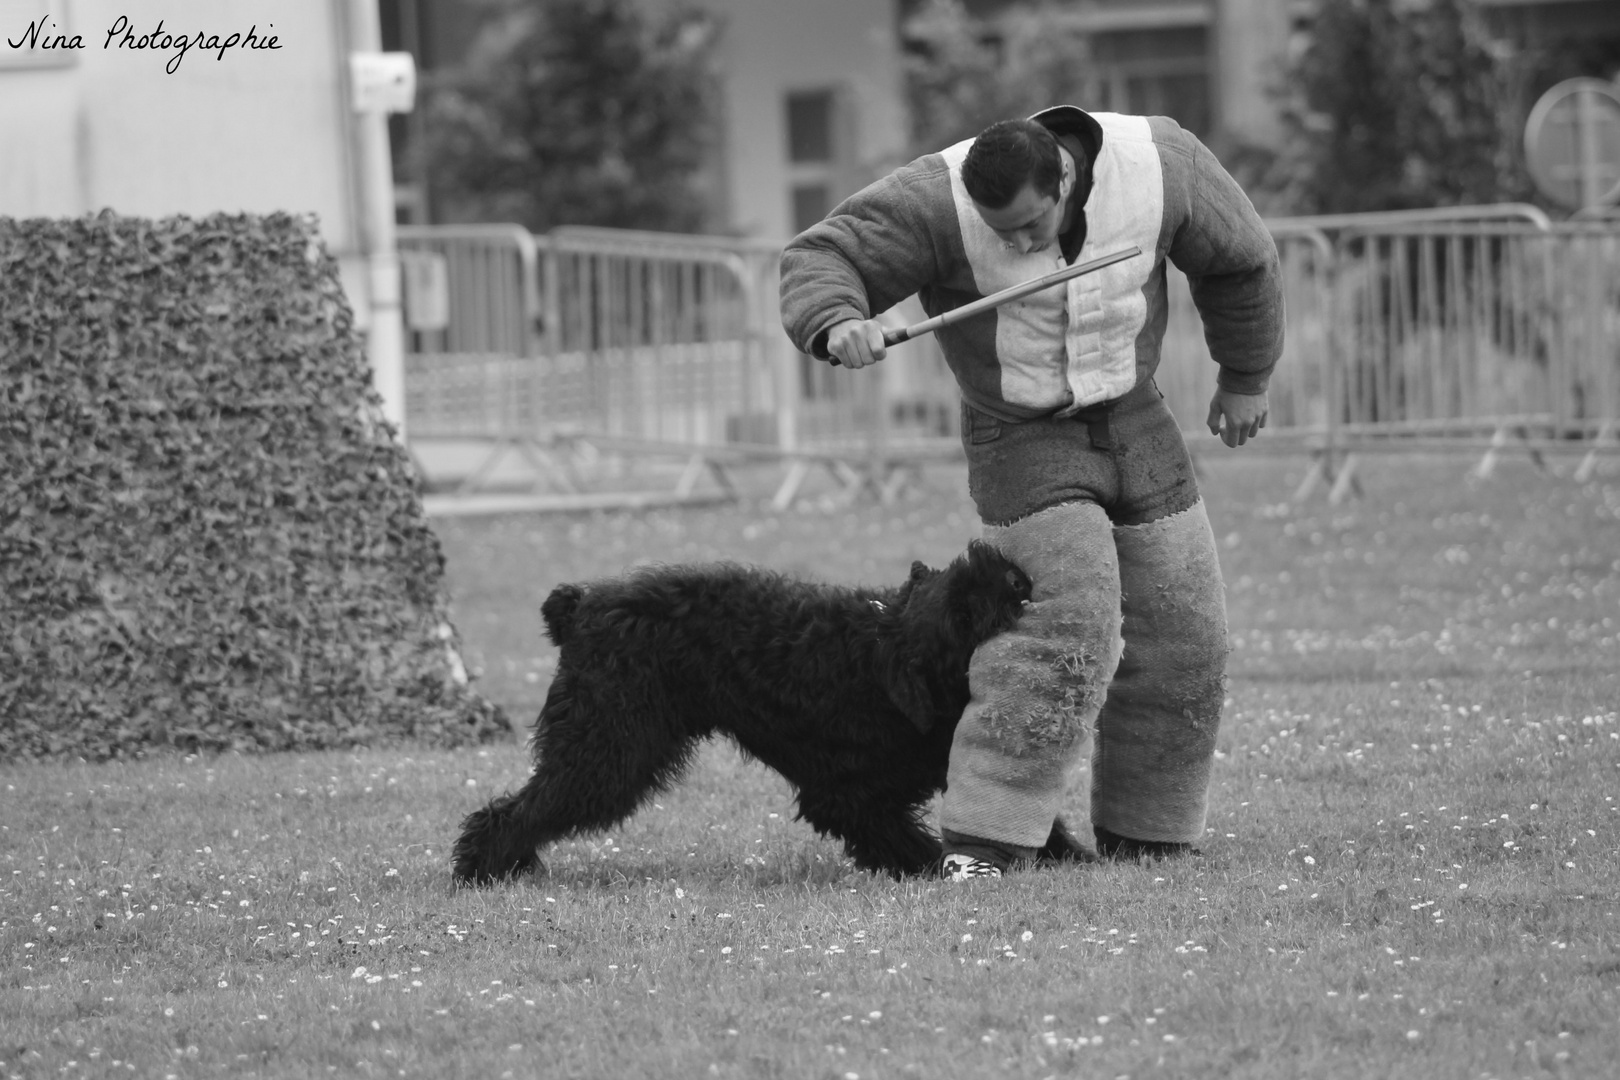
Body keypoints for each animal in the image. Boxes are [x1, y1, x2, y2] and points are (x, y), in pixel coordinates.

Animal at [453, 540, 1088, 887]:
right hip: (606, 750)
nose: (1014, 574)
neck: (883, 655)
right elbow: (903, 840)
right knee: (517, 809)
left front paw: (1072, 857)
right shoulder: (846, 797)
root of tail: (579, 608)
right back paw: (483, 868)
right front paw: (940, 869)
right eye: (964, 611)